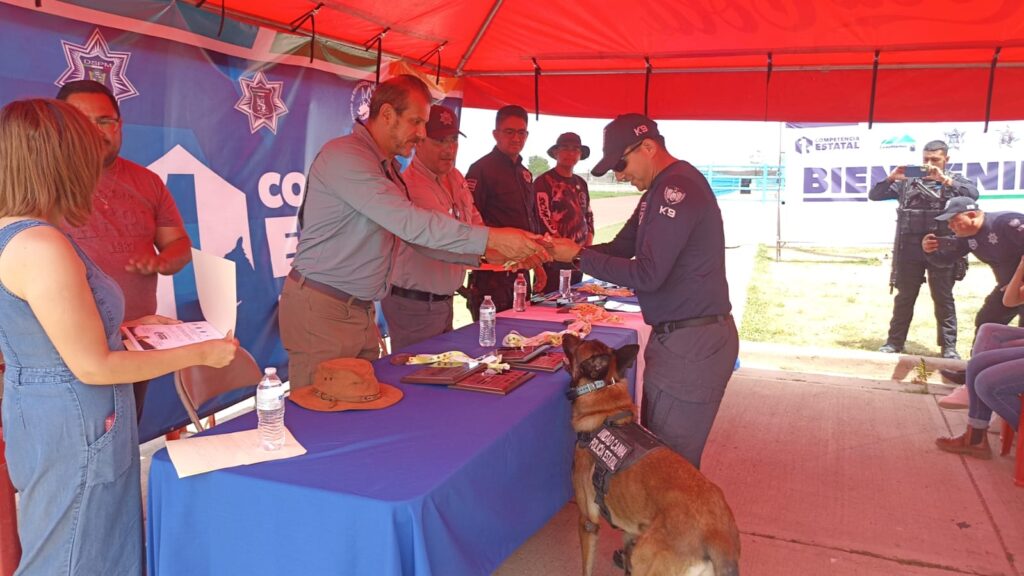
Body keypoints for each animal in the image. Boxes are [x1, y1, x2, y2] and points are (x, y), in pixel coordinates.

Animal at [562, 334, 740, 576]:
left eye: (579, 343)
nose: (564, 334)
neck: (605, 404)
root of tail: (718, 535)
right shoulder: (631, 531)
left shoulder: (588, 522)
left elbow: (587, 568)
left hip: (644, 562)